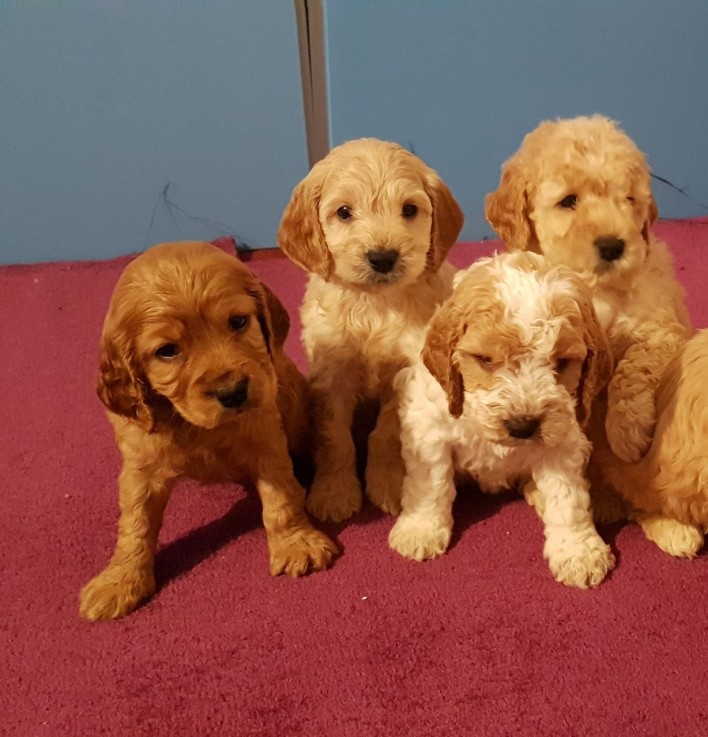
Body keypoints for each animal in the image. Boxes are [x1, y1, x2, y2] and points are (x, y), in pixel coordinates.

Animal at [79, 243, 338, 620]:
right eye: (167, 351)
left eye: (238, 322)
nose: (233, 392)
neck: (197, 427)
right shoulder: (140, 467)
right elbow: (135, 524)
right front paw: (120, 580)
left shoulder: (266, 441)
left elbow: (281, 498)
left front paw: (296, 544)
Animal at [276, 138, 464, 524]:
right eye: (344, 212)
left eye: (409, 209)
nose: (382, 258)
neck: (373, 307)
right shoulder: (331, 373)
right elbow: (334, 436)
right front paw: (333, 492)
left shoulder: (406, 372)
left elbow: (387, 432)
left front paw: (389, 483)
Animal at [390, 252, 616, 588]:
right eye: (485, 360)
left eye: (562, 362)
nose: (523, 426)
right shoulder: (428, 429)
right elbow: (430, 483)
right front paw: (420, 530)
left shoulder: (563, 440)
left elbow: (568, 498)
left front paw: (578, 551)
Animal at [482, 115, 704, 556]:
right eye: (569, 201)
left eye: (629, 200)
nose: (614, 245)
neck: (595, 287)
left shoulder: (658, 328)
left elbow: (633, 371)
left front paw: (628, 432)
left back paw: (674, 529)